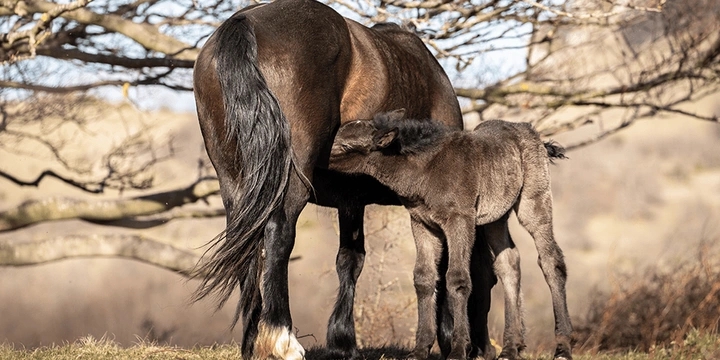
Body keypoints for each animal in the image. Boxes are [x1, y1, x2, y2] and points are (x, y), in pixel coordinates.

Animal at [330, 110, 572, 360]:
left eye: (345, 145)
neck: (426, 170)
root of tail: (532, 133)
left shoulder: (460, 220)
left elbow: (458, 279)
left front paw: (458, 349)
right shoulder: (422, 223)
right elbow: (424, 278)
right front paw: (420, 349)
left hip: (534, 202)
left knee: (551, 261)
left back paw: (562, 347)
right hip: (495, 218)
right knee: (508, 263)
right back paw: (510, 348)